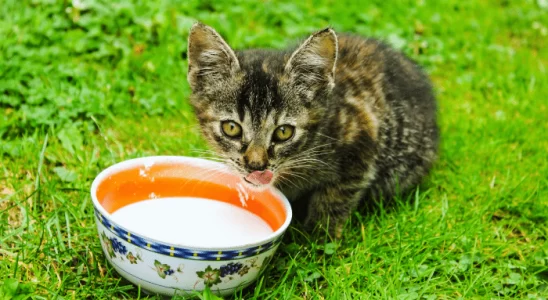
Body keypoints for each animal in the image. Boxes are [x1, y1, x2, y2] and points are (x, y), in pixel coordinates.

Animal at [186, 22, 438, 239]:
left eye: (284, 132)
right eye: (231, 128)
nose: (256, 166)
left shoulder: (361, 139)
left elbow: (335, 198)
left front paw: (317, 239)